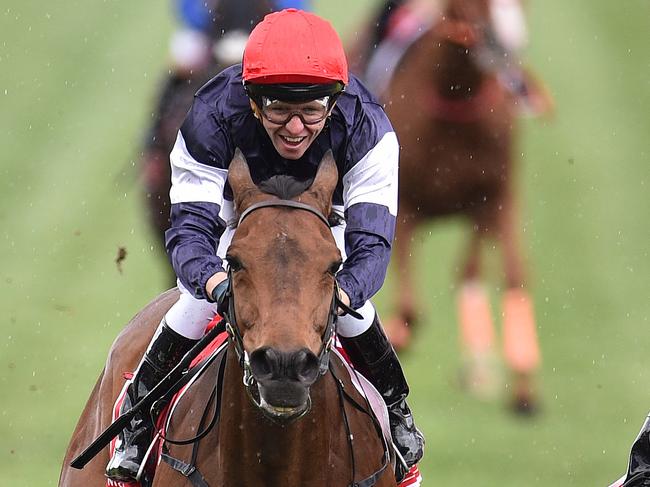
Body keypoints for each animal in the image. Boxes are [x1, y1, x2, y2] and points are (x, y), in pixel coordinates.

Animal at [372, 0, 540, 414]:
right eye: (471, 8)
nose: (506, 47)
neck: (455, 98)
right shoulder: (405, 205)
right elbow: (410, 307)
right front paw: (395, 337)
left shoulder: (493, 199)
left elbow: (494, 273)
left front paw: (515, 385)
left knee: (491, 270)